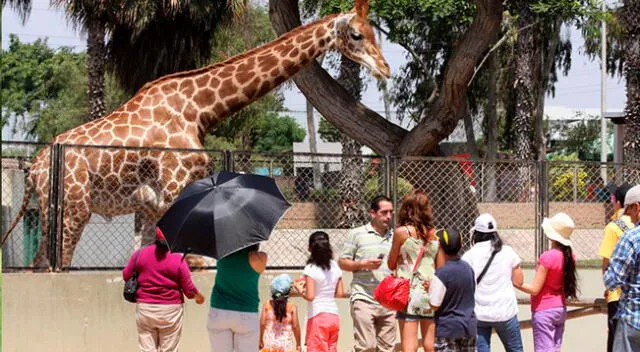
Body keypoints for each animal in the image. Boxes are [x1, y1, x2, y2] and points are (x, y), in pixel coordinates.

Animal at [1, 0, 390, 270]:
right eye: (356, 34)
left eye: (374, 32)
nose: (385, 69)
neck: (199, 109)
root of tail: (35, 168)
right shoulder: (174, 188)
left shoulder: (154, 204)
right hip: (72, 208)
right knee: (55, 264)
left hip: (53, 209)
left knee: (39, 263)